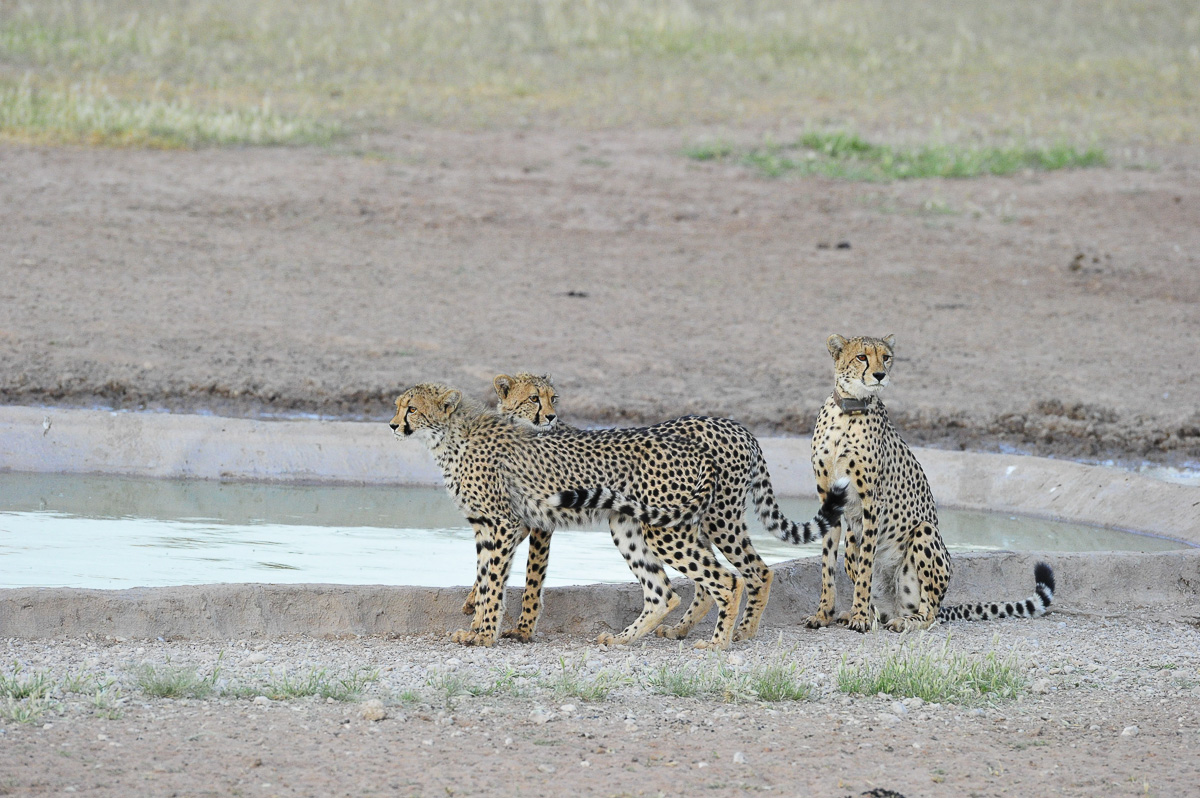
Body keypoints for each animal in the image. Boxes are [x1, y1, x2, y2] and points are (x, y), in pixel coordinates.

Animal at [390, 382, 749, 649]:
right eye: (398, 405)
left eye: (412, 408)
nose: (393, 425)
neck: (448, 437)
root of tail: (694, 446)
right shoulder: (485, 526)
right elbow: (483, 577)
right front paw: (476, 627)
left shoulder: (504, 523)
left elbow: (493, 582)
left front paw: (486, 634)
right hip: (627, 525)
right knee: (663, 593)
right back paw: (621, 639)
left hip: (666, 531)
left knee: (730, 579)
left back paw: (718, 643)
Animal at [490, 372, 850, 643]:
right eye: (533, 398)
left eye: (553, 398)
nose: (551, 416)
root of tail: (737, 426)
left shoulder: (539, 522)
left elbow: (530, 577)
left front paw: (520, 630)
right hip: (679, 522)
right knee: (704, 582)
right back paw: (680, 629)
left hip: (715, 519)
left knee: (753, 571)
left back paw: (742, 631)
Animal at [805, 334, 1055, 633]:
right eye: (861, 357)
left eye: (886, 357)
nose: (880, 375)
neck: (847, 412)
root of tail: (894, 608)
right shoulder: (829, 500)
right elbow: (827, 565)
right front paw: (824, 614)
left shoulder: (871, 502)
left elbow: (866, 564)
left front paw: (860, 618)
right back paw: (864, 613)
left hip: (924, 532)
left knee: (929, 614)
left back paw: (900, 620)